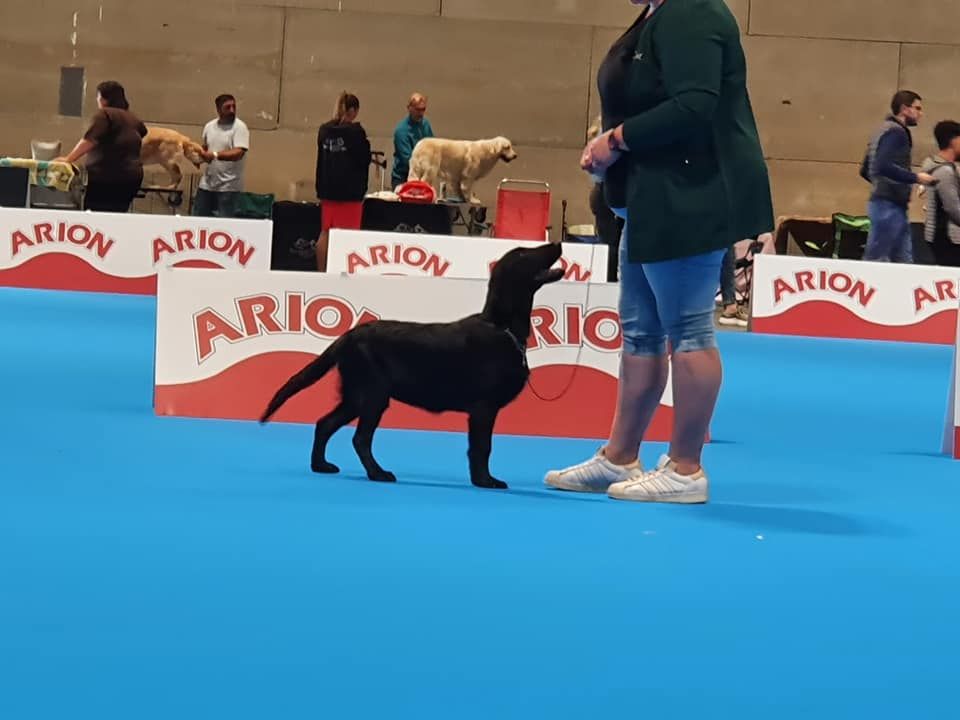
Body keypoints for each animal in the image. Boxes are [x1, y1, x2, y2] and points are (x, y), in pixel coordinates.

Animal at [259, 241, 564, 490]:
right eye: (524, 253)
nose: (557, 243)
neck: (502, 327)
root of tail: (349, 335)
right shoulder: (483, 408)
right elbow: (481, 448)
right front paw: (485, 481)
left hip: (357, 395)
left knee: (324, 423)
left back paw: (320, 465)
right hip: (373, 394)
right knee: (360, 438)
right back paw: (378, 473)